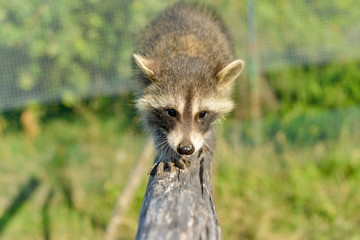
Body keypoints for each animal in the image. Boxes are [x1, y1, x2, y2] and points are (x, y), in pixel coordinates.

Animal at [133, 1, 245, 169]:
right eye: (171, 112)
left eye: (203, 114)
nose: (185, 148)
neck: (187, 53)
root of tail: (184, 6)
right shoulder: (144, 89)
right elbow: (151, 122)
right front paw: (166, 149)